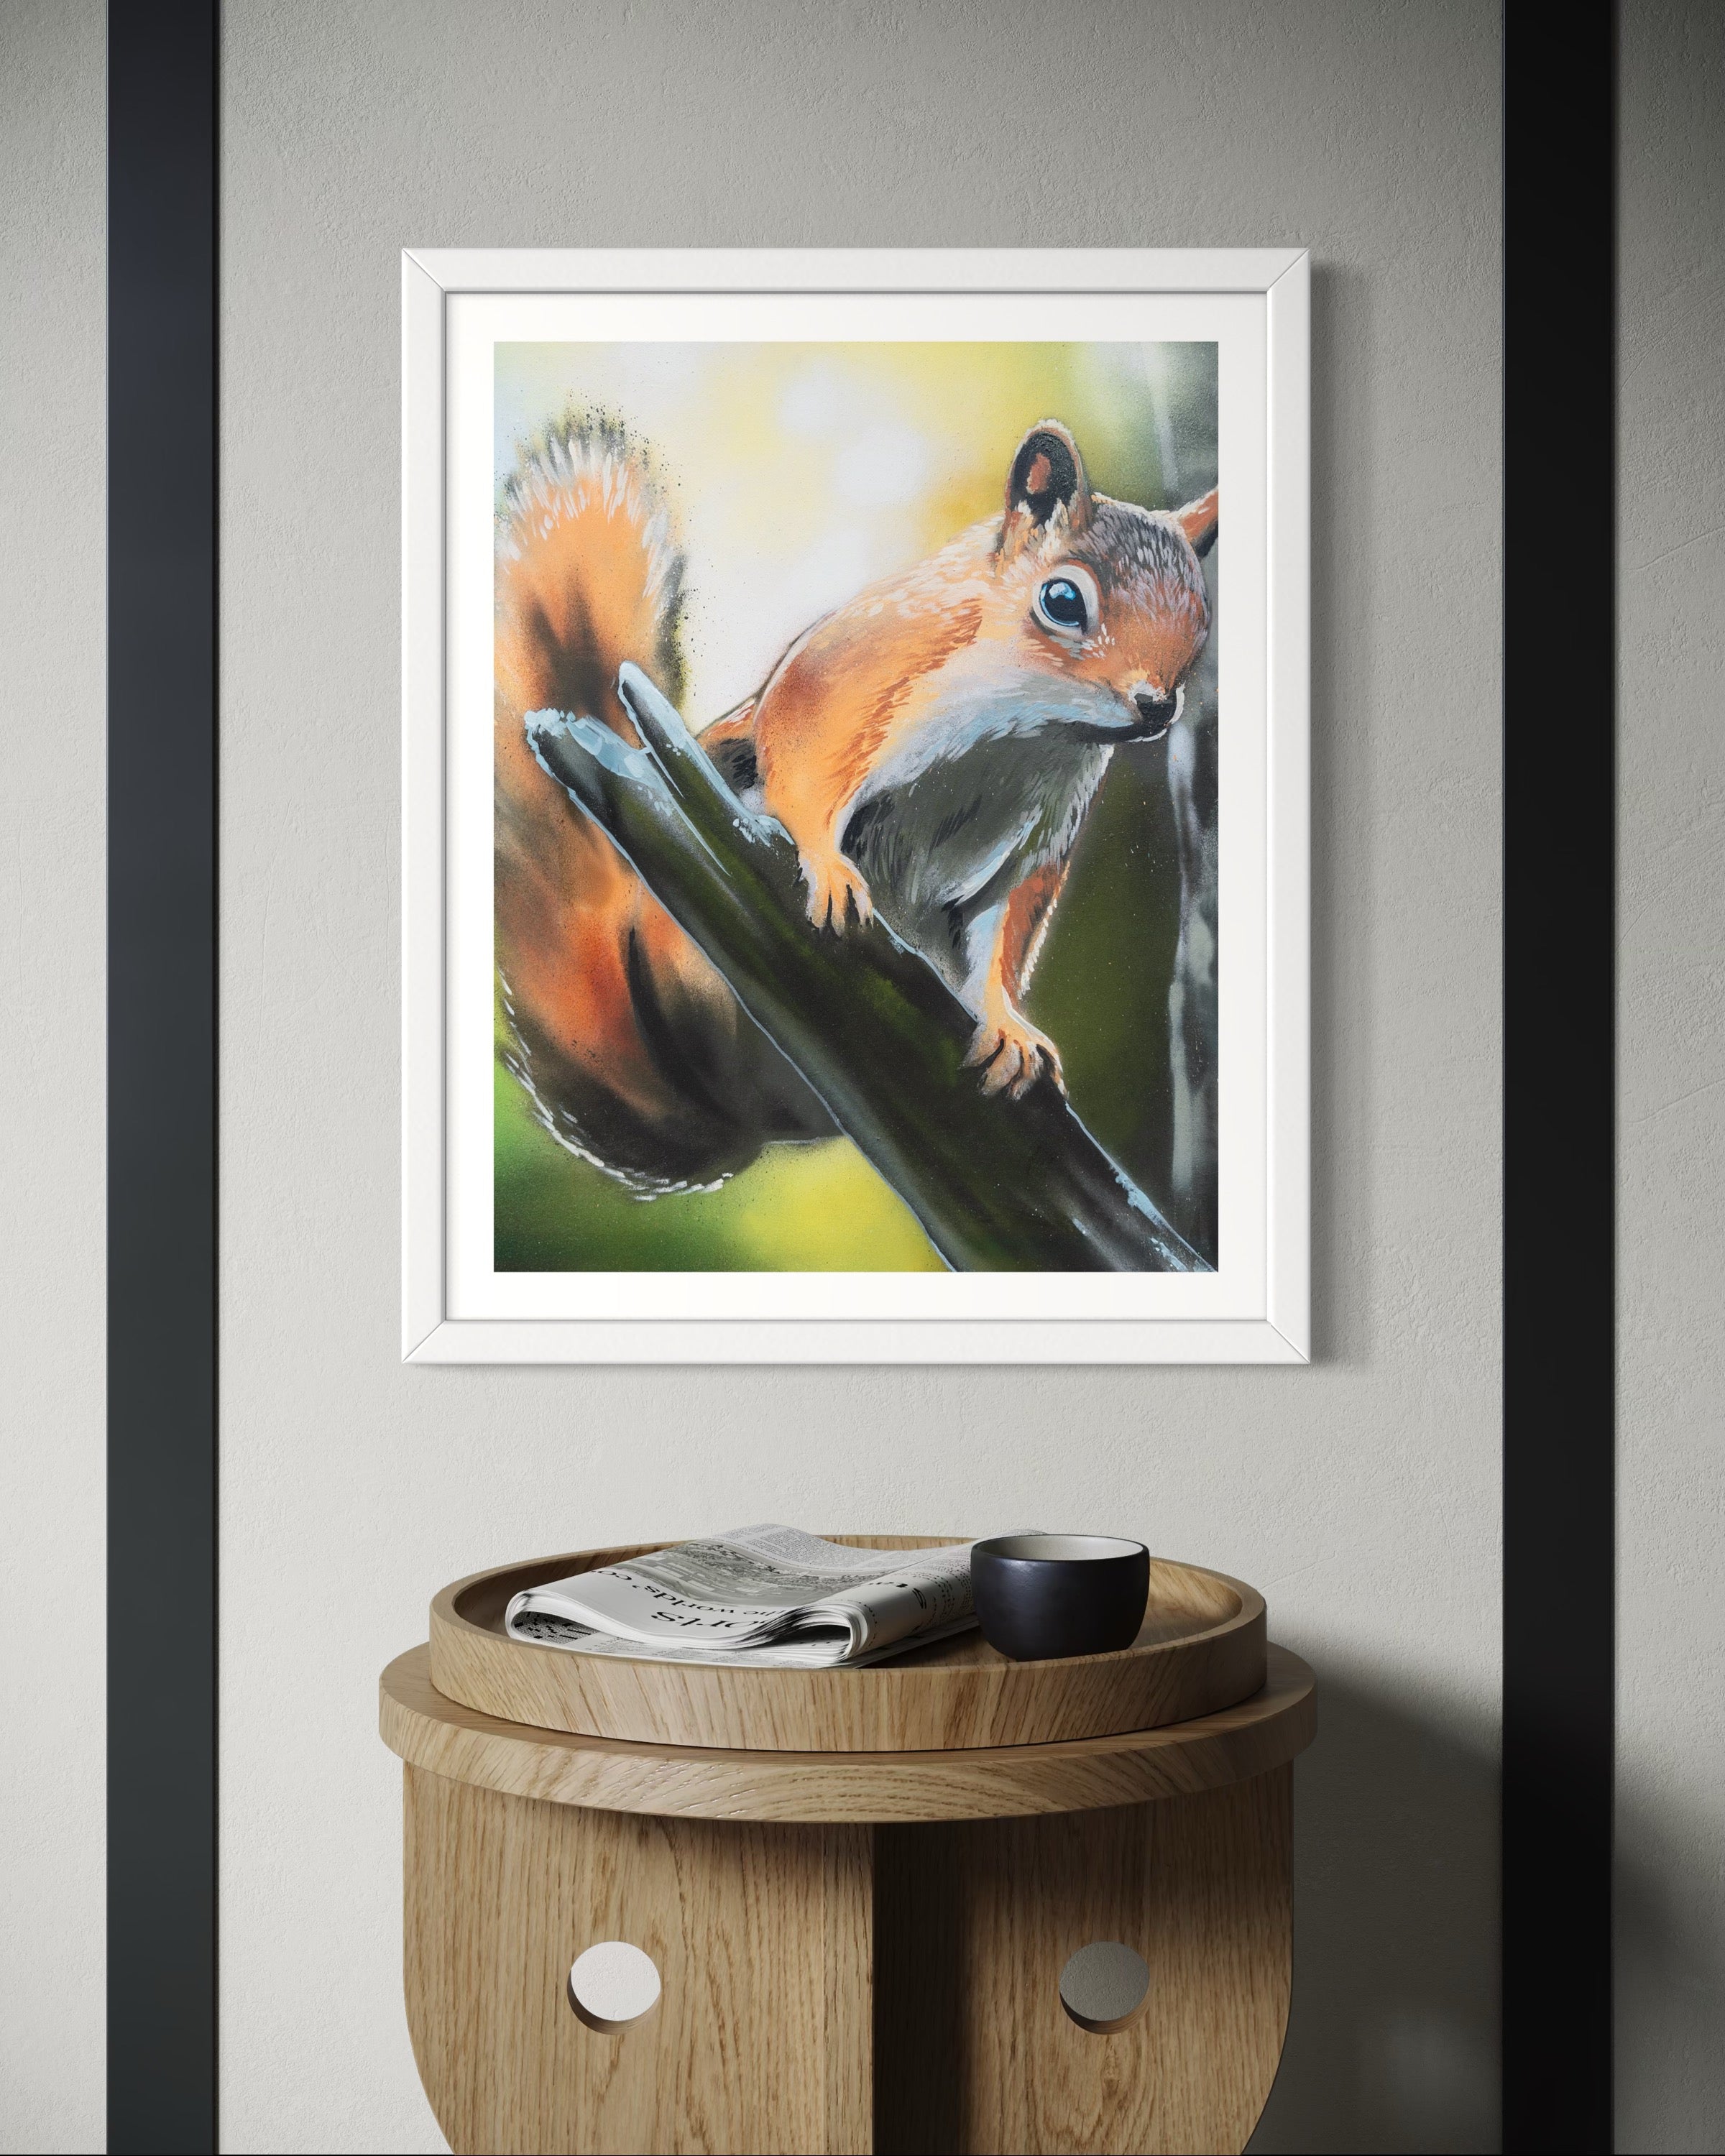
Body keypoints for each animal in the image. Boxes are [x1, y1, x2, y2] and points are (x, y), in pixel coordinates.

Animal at [495, 410, 1218, 1196]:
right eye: (1063, 601)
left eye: (1202, 620)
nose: (1157, 708)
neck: (1031, 728)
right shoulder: (849, 675)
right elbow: (803, 762)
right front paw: (829, 866)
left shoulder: (1042, 840)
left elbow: (1007, 930)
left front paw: (1010, 1027)